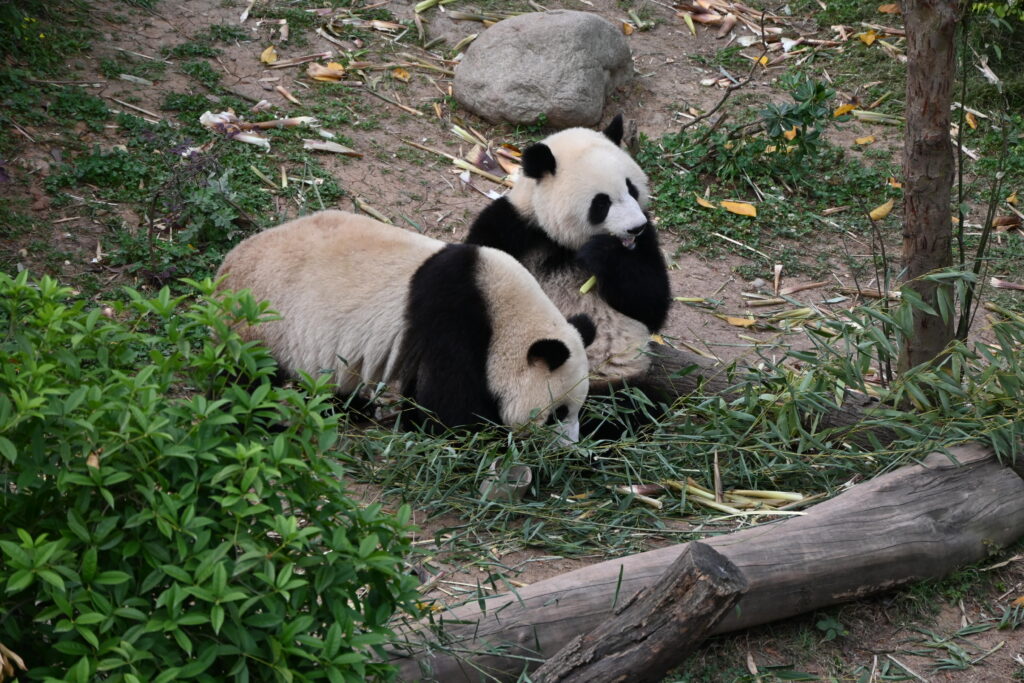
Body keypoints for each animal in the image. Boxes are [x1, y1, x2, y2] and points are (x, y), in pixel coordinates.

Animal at [215, 210, 595, 441]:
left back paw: (352, 408)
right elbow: (450, 413)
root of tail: (223, 270)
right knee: (252, 380)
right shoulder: (454, 321)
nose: (569, 445)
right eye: (558, 412)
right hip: (265, 321)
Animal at [465, 114, 670, 387]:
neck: (563, 243)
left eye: (632, 189)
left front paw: (603, 251)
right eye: (601, 203)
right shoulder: (512, 227)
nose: (636, 227)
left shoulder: (646, 243)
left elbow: (651, 302)